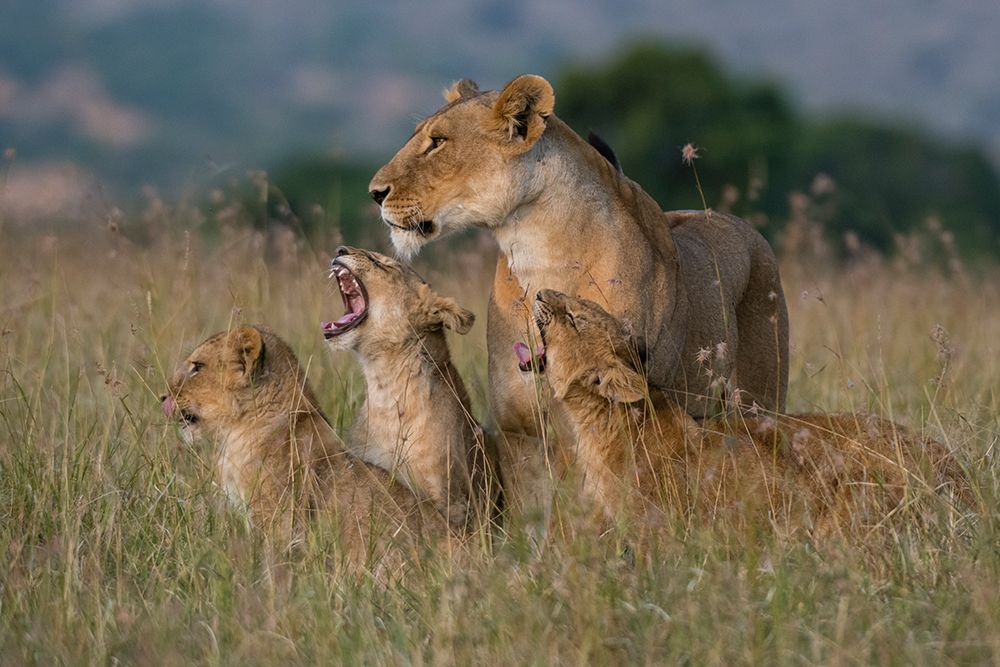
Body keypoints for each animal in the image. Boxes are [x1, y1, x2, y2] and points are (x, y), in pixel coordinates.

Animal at [368, 74, 790, 529]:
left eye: (438, 141)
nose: (375, 192)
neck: (537, 249)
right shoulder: (520, 433)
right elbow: (532, 521)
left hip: (759, 403)